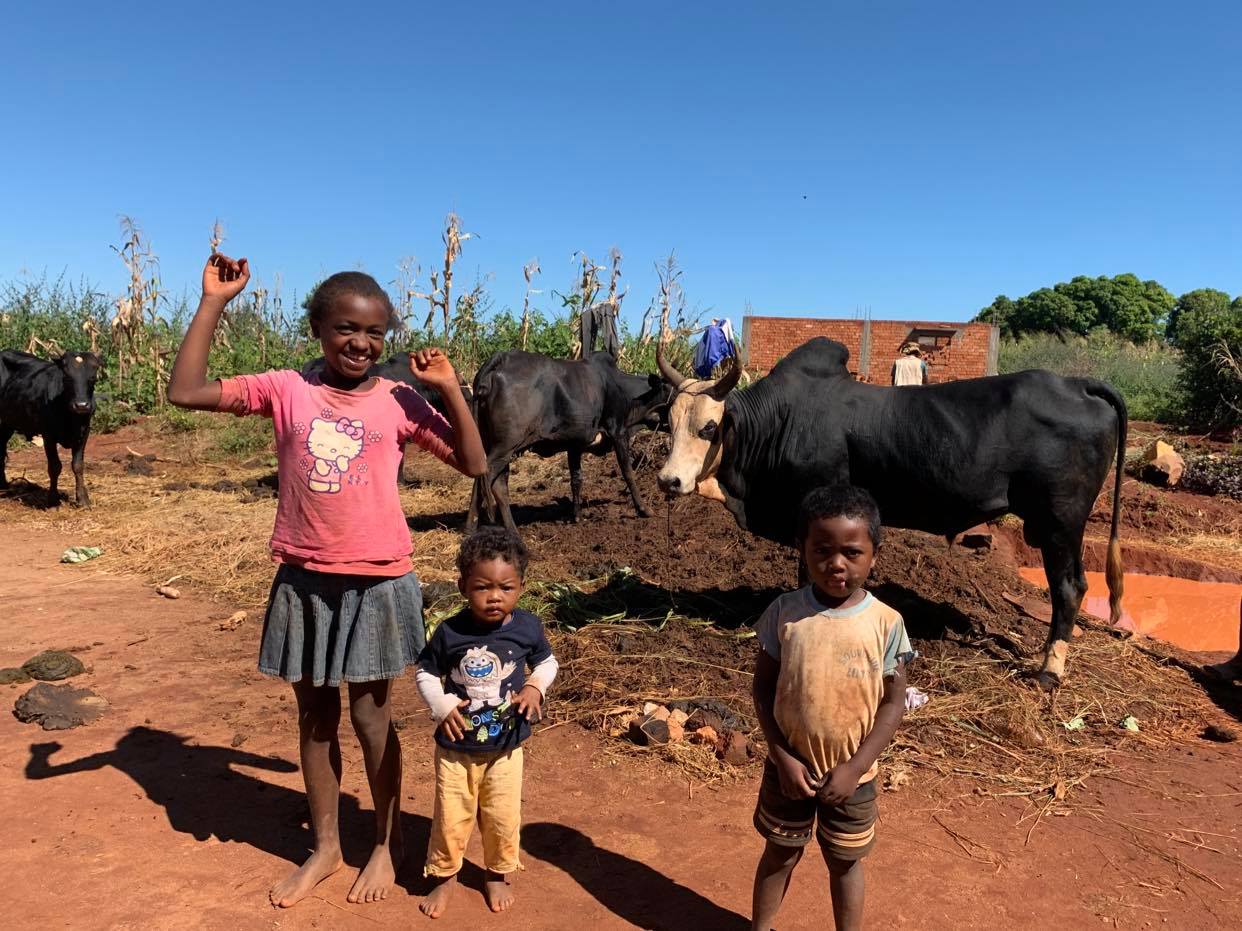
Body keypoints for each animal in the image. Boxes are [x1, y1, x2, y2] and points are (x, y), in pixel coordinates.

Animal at [0, 352, 103, 511]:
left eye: (93, 377)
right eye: (67, 377)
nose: (81, 405)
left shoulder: (84, 432)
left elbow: (78, 466)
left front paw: (83, 499)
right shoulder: (48, 435)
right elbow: (54, 467)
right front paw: (53, 501)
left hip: (7, 424)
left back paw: (4, 485)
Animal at [466, 350, 670, 536]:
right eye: (672, 393)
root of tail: (501, 358)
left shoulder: (574, 445)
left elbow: (576, 479)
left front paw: (577, 516)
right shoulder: (618, 432)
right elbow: (627, 472)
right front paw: (643, 509)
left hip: (497, 446)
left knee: (492, 483)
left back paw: (491, 529)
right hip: (505, 446)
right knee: (488, 479)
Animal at [660, 340, 1127, 690]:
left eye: (708, 427)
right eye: (669, 422)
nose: (669, 480)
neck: (779, 422)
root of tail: (1077, 384)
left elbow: (809, 574)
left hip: (1060, 522)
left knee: (1069, 587)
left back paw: (1049, 671)